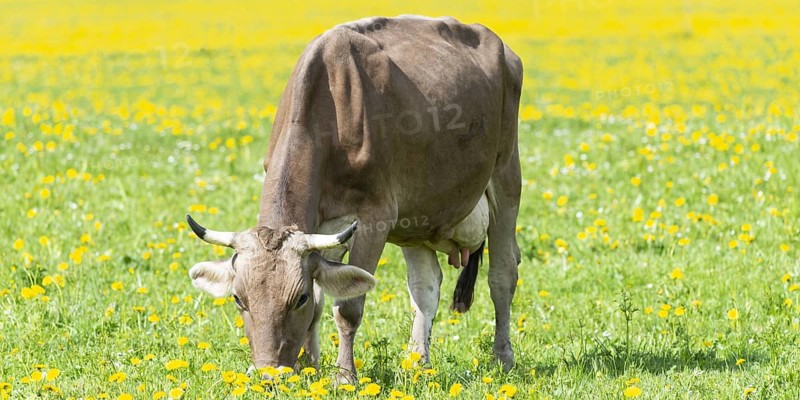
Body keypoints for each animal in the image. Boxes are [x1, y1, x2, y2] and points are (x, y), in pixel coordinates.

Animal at [186, 15, 522, 382]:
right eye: (238, 298)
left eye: (299, 298)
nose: (270, 373)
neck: (329, 108)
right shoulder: (324, 229)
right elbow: (323, 304)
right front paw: (310, 367)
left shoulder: (375, 218)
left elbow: (347, 306)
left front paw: (344, 376)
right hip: (418, 216)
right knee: (426, 286)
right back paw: (417, 363)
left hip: (506, 177)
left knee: (503, 274)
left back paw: (503, 358)